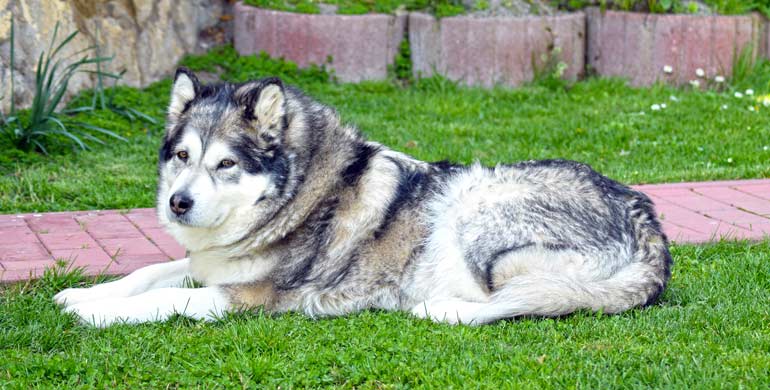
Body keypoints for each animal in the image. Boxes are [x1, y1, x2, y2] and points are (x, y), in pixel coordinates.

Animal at [55, 69, 664, 326]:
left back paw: (437, 307)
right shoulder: (209, 264)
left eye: (225, 164)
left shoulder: (253, 297)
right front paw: (83, 294)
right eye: (182, 156)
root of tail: (648, 223)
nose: (177, 204)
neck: (295, 199)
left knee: (521, 301)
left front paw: (97, 314)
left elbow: (166, 299)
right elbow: (149, 273)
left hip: (474, 210)